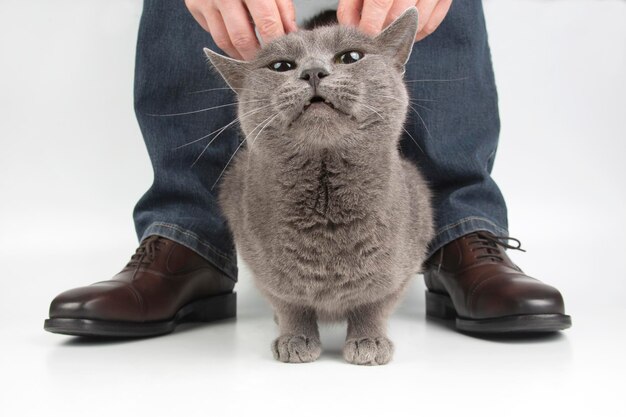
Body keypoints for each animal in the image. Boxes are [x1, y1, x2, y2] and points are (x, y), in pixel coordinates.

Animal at [202, 7, 432, 364]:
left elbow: (374, 304)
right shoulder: (266, 268)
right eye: (281, 66)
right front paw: (295, 339)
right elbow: (291, 304)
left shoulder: (401, 265)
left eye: (350, 57)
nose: (312, 71)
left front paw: (369, 341)